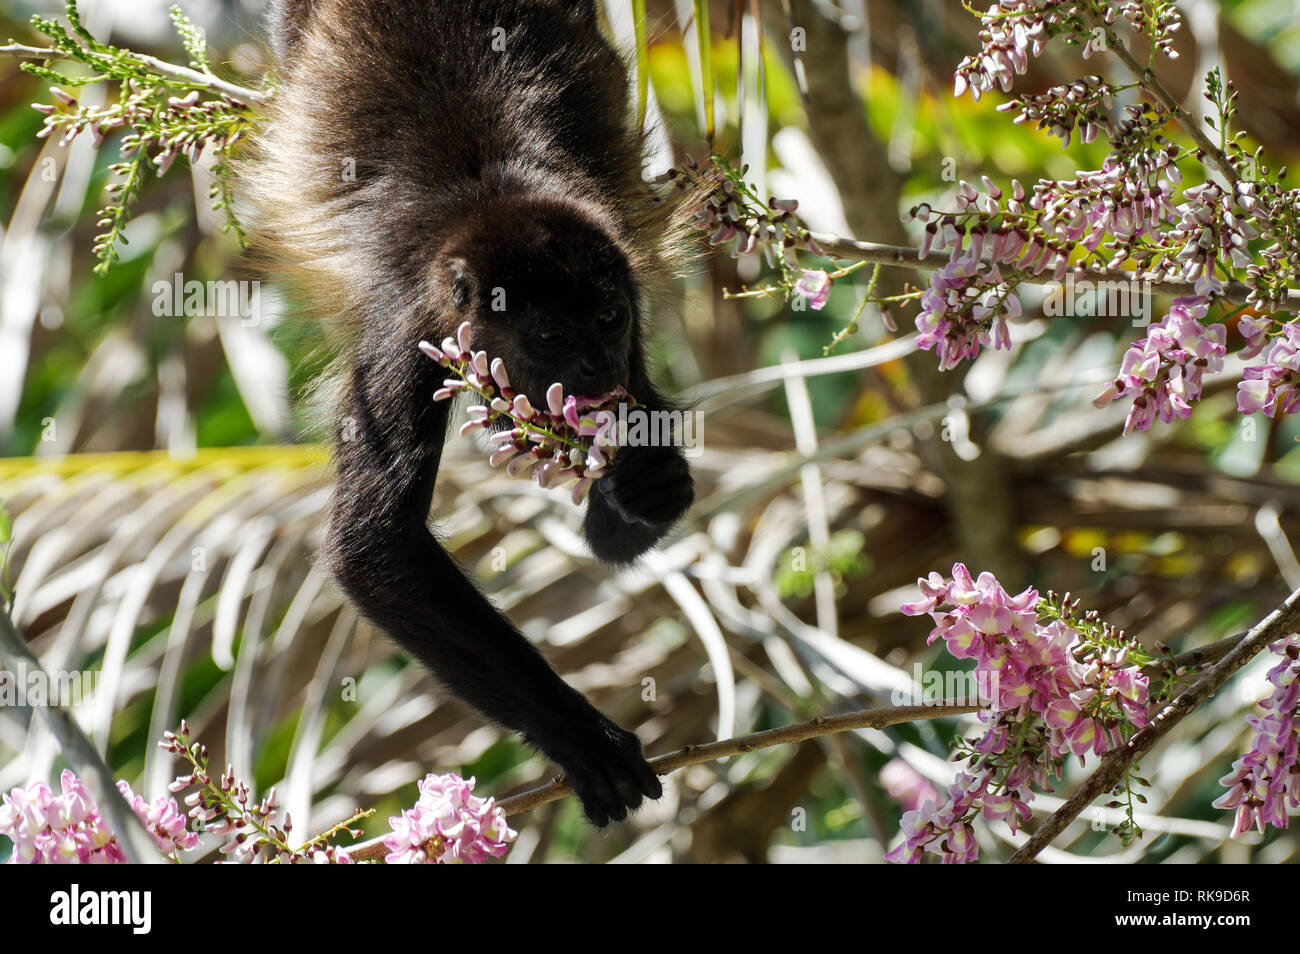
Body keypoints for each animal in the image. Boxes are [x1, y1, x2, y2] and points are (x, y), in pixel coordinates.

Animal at [239, 0, 696, 826]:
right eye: (548, 336)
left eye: (608, 319)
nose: (597, 367)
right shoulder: (404, 330)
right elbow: (375, 549)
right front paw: (579, 735)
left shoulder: (626, 285)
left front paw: (649, 487)